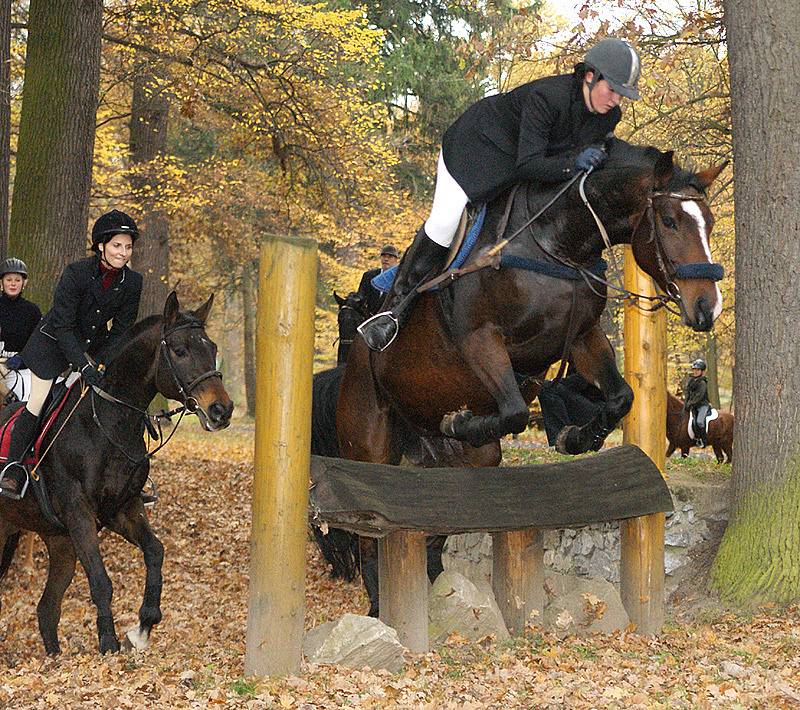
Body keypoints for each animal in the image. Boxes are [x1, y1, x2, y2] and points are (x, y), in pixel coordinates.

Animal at [0, 294, 231, 656]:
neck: (108, 422)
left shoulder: (122, 508)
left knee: (47, 609)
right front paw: (108, 641)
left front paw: (144, 625)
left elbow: (155, 551)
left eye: (212, 348)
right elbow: (100, 579)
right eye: (180, 350)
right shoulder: (79, 510)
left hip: (59, 541)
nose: (222, 410)